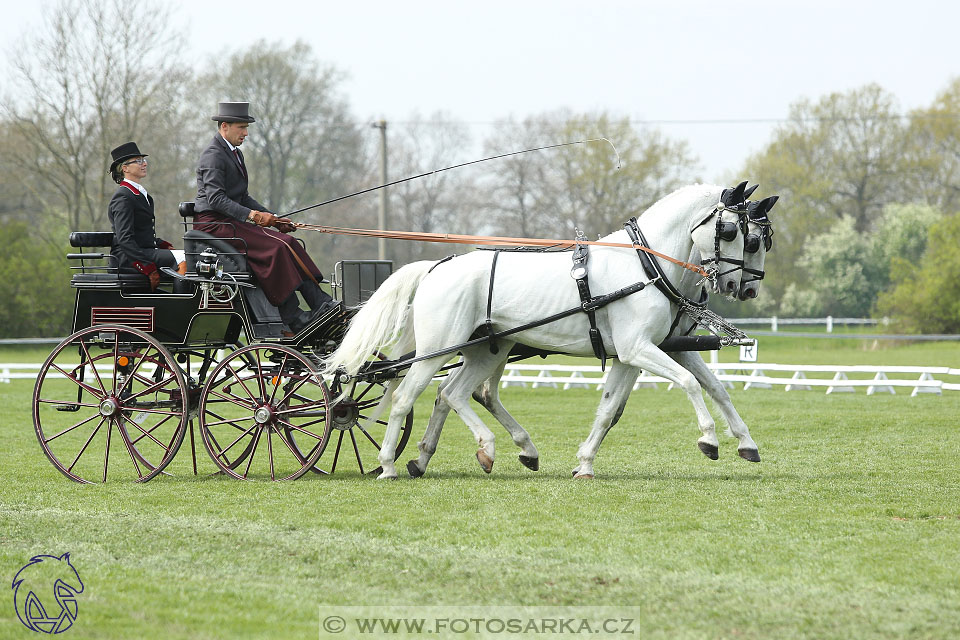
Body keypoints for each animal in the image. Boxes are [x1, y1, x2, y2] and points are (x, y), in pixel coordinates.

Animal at [326, 182, 752, 478]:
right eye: (731, 231)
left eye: (757, 237)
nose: (741, 286)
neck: (645, 267)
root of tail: (435, 266)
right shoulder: (637, 349)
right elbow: (688, 384)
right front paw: (709, 440)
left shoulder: (649, 350)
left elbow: (619, 406)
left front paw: (746, 442)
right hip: (440, 350)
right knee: (407, 397)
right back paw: (389, 465)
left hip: (487, 350)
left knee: (454, 394)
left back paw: (469, 453)